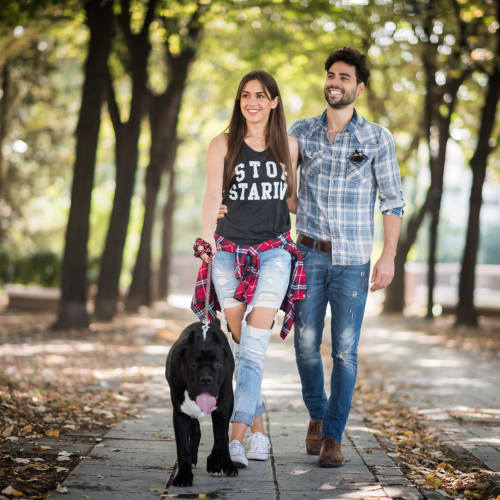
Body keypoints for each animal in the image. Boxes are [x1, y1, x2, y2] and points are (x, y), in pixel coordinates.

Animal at [165, 320, 237, 488]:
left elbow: (220, 439)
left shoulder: (222, 411)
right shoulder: (181, 414)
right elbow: (183, 449)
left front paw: (214, 464)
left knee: (224, 437)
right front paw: (183, 477)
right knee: (196, 430)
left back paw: (228, 466)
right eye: (193, 364)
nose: (206, 379)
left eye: (218, 364)